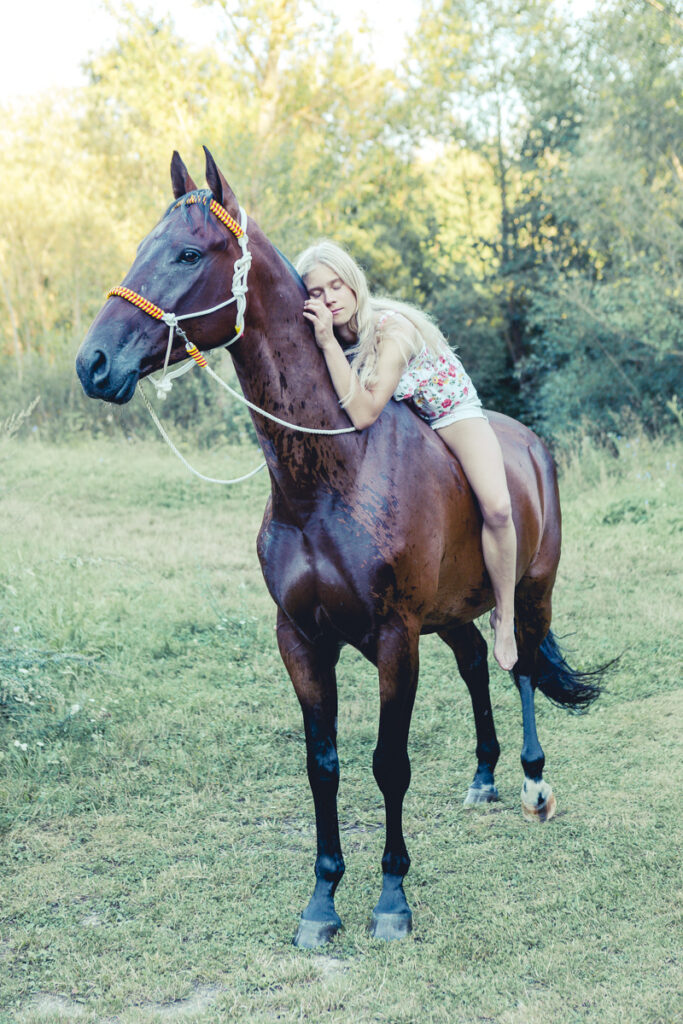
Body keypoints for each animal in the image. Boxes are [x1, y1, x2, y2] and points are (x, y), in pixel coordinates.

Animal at [76, 148, 602, 948]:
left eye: (189, 253)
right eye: (141, 247)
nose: (94, 363)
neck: (332, 474)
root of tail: (530, 445)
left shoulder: (393, 637)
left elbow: (389, 764)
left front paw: (391, 900)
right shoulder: (300, 637)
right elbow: (321, 765)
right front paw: (322, 901)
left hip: (528, 592)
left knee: (518, 664)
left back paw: (532, 783)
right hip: (448, 614)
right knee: (477, 663)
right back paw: (484, 776)